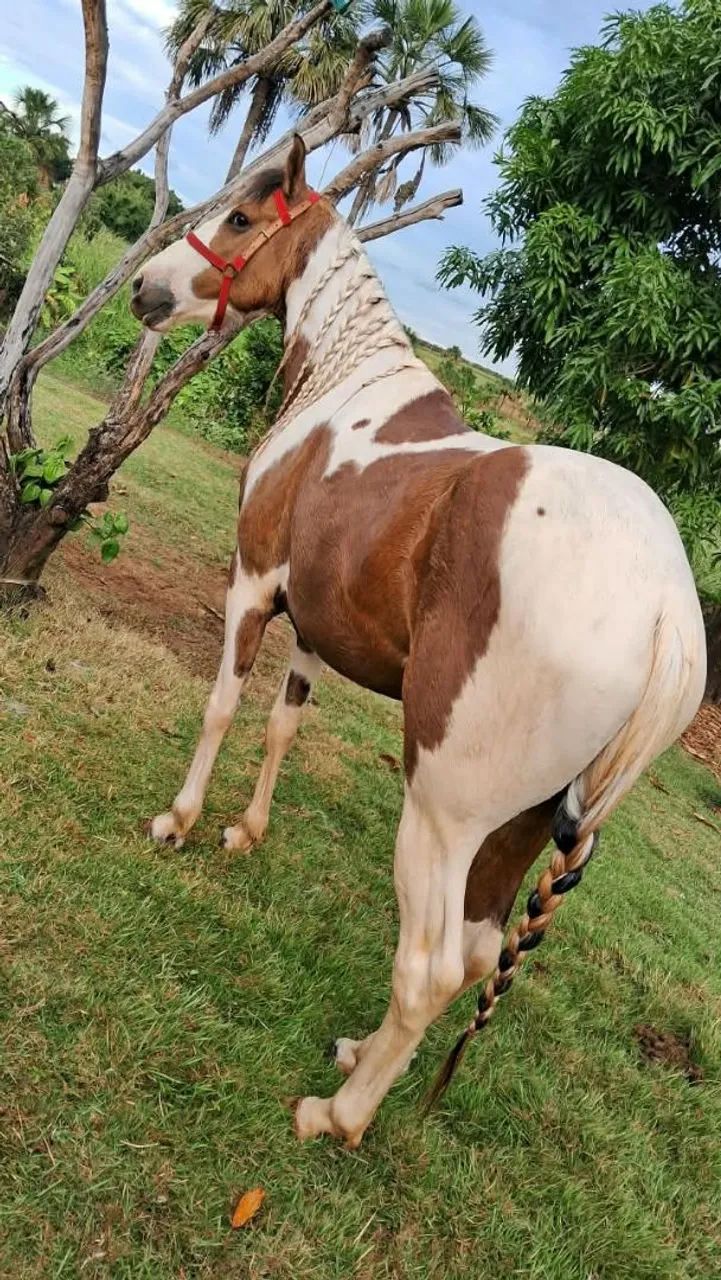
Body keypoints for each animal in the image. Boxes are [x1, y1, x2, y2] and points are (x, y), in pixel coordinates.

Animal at [130, 135, 707, 1148]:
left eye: (242, 217)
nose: (144, 291)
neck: (342, 389)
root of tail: (667, 611)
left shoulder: (252, 586)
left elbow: (223, 706)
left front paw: (183, 820)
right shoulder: (314, 624)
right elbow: (283, 724)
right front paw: (246, 830)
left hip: (441, 816)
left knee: (432, 967)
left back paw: (337, 1115)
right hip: (518, 825)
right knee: (475, 956)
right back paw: (361, 1058)